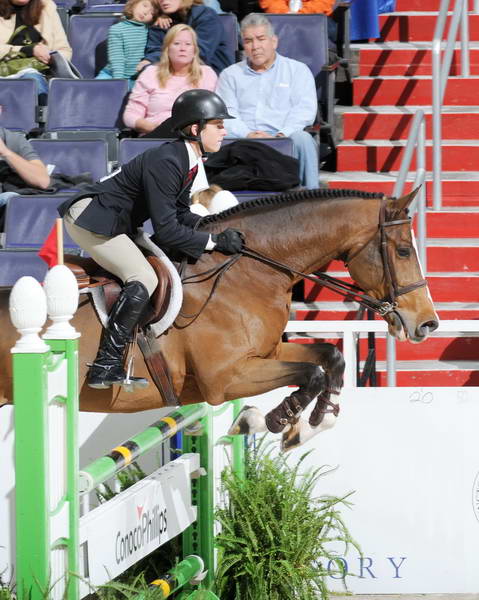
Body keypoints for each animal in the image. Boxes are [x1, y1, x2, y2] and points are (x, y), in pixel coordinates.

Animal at [0, 190, 438, 448]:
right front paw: (271, 419)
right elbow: (310, 374)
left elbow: (329, 358)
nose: (427, 324)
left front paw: (312, 422)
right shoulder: (226, 378)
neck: (250, 270)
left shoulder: (266, 354)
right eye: (403, 251)